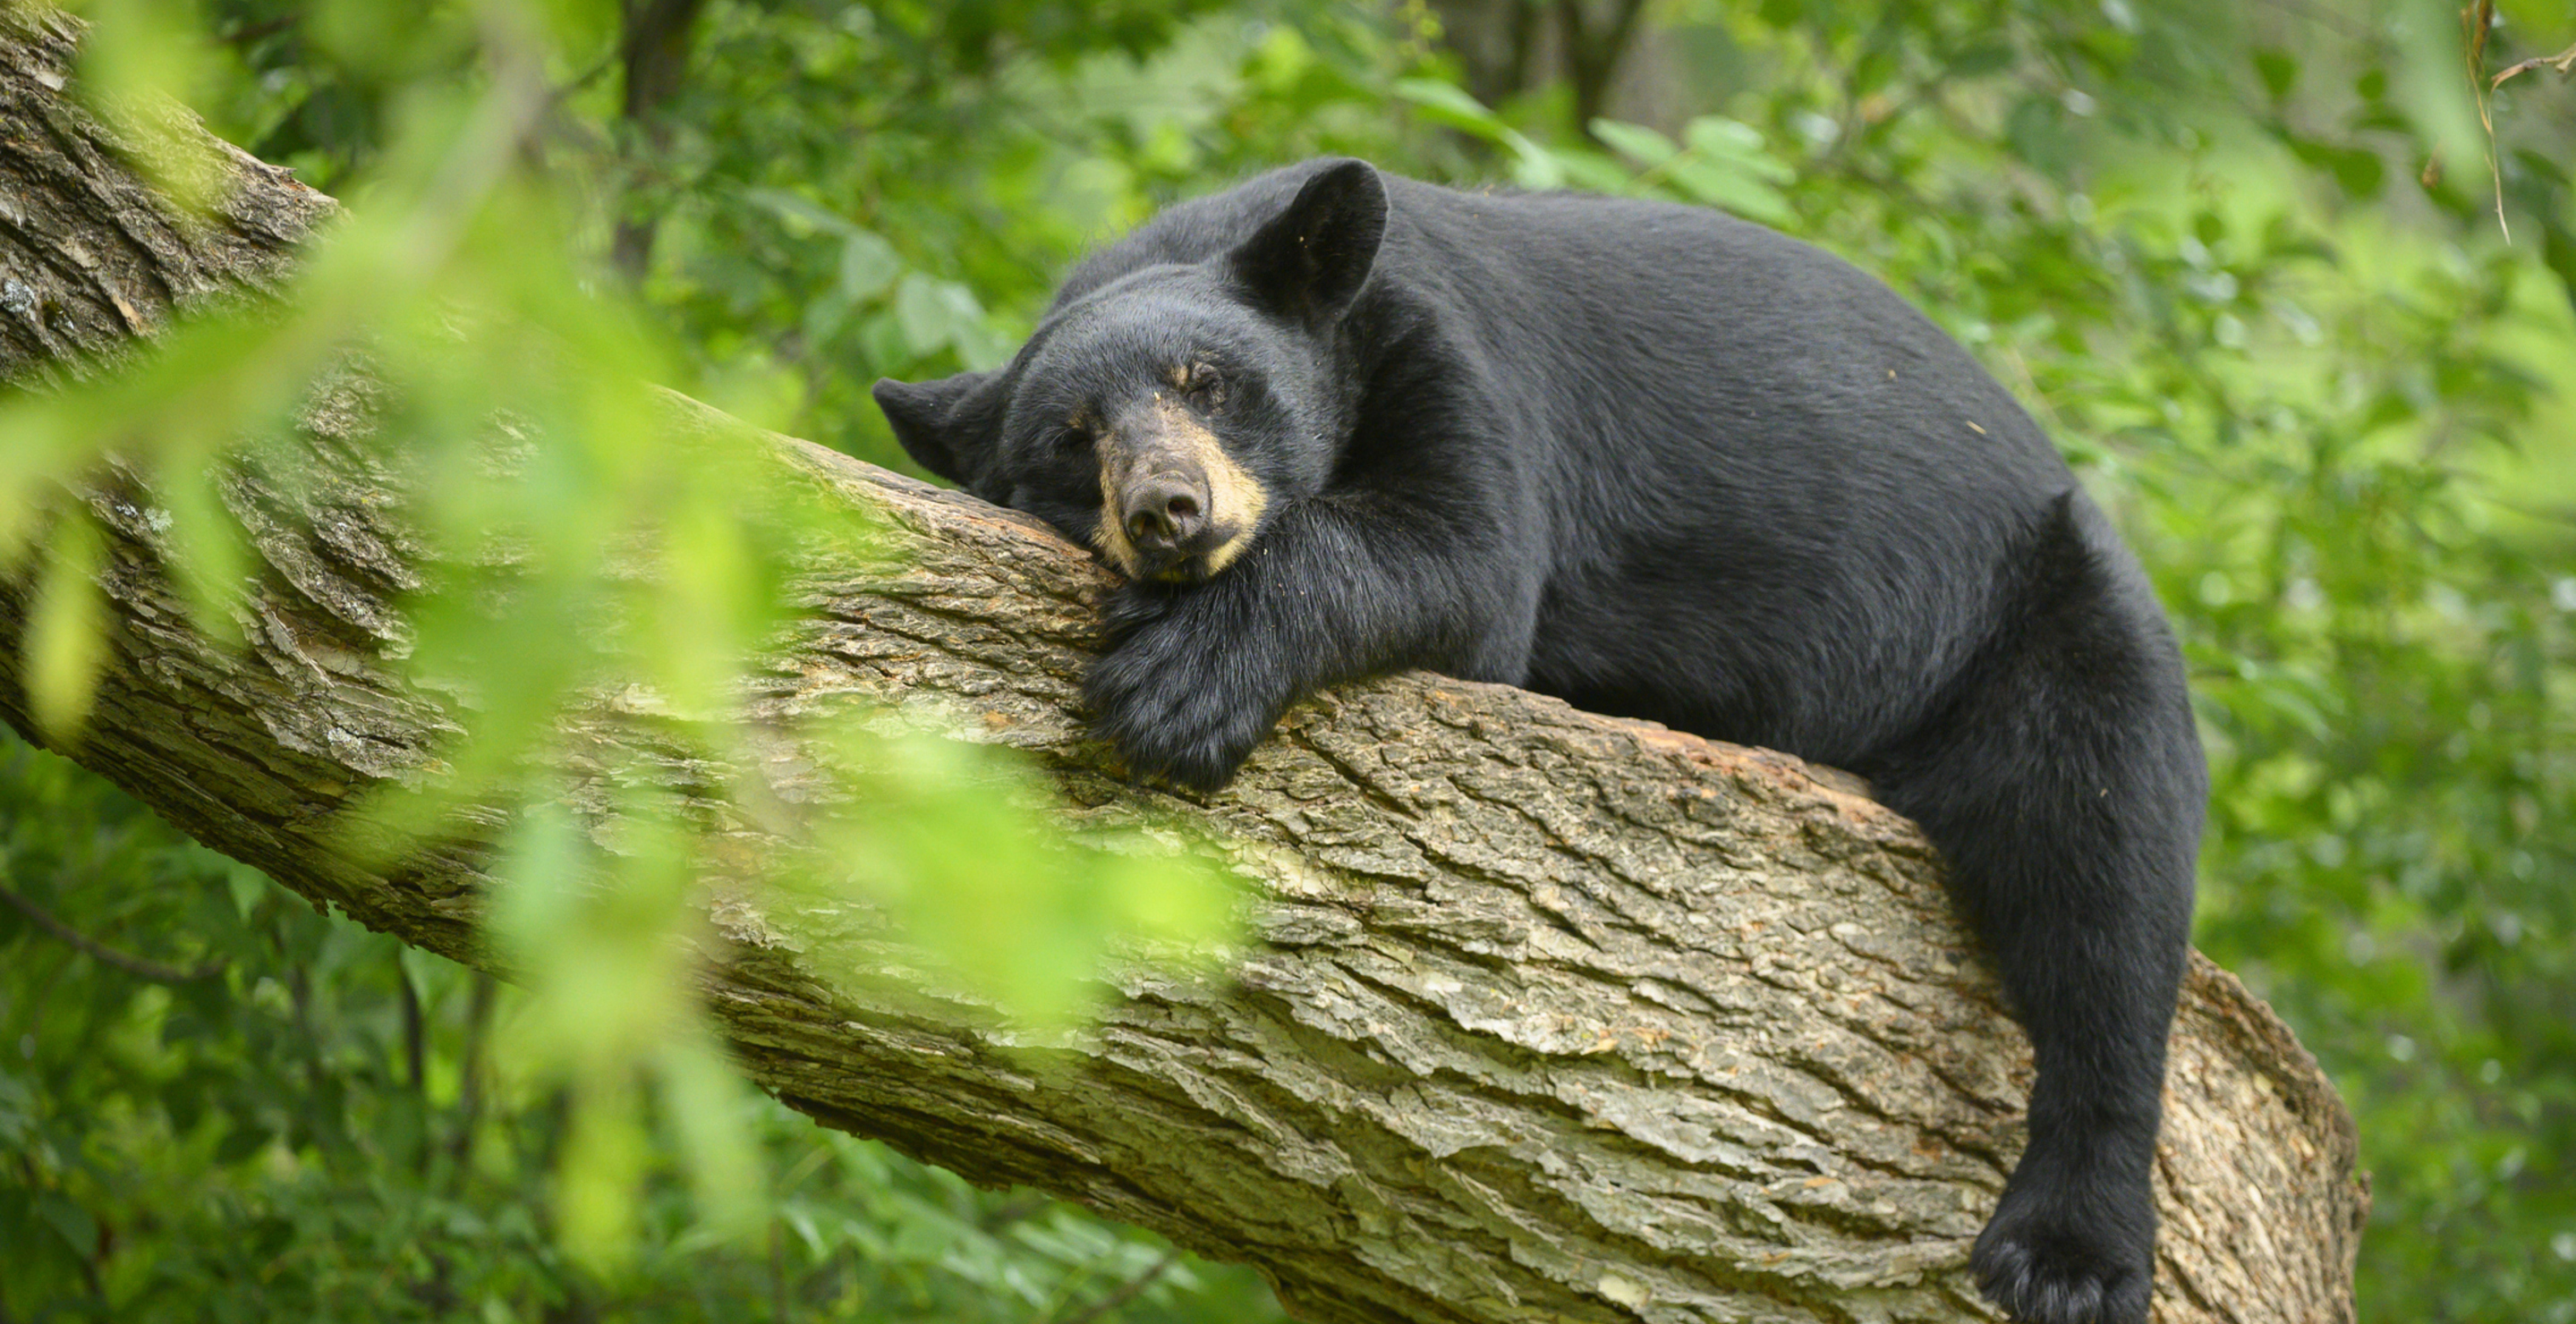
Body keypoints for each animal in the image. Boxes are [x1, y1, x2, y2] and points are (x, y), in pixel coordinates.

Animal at [874, 158, 2205, 1324]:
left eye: (1208, 381)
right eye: (1068, 436)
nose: (1167, 510)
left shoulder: (1452, 360)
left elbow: (1460, 553)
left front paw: (1180, 684)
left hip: (2042, 618)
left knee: (2102, 871)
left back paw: (2066, 1250)